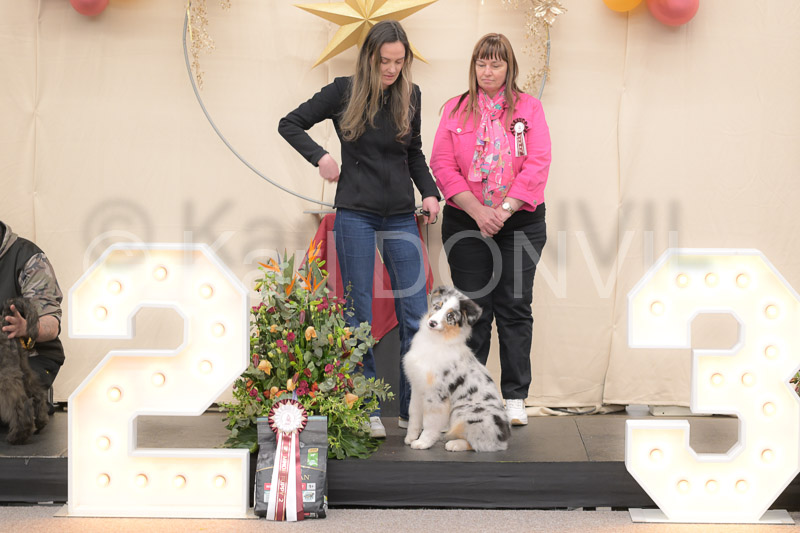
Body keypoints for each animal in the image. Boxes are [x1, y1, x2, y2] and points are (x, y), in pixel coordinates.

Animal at [0, 298, 49, 444]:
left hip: (6, 378)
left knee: (21, 404)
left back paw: (18, 435)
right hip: (23, 370)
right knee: (38, 393)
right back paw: (41, 422)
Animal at [403, 287, 511, 452]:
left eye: (450, 316)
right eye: (437, 306)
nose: (432, 323)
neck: (435, 340)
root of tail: (504, 438)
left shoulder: (436, 394)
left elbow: (429, 422)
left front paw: (422, 442)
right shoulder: (417, 387)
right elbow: (414, 414)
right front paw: (411, 437)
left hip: (464, 411)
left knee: (482, 443)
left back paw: (454, 444)